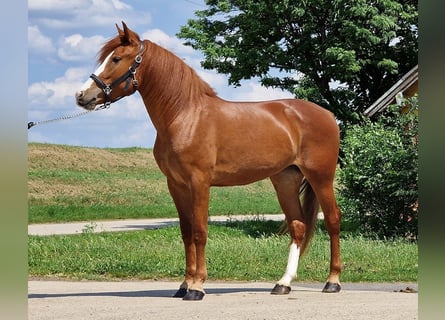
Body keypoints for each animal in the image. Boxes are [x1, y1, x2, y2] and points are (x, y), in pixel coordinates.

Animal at [75, 22, 340, 300]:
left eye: (116, 59)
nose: (82, 95)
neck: (185, 116)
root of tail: (327, 115)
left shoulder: (199, 182)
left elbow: (200, 232)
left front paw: (197, 286)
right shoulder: (176, 185)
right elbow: (186, 232)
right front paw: (184, 284)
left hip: (321, 178)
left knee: (333, 221)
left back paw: (332, 281)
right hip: (285, 179)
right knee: (298, 226)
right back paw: (283, 283)